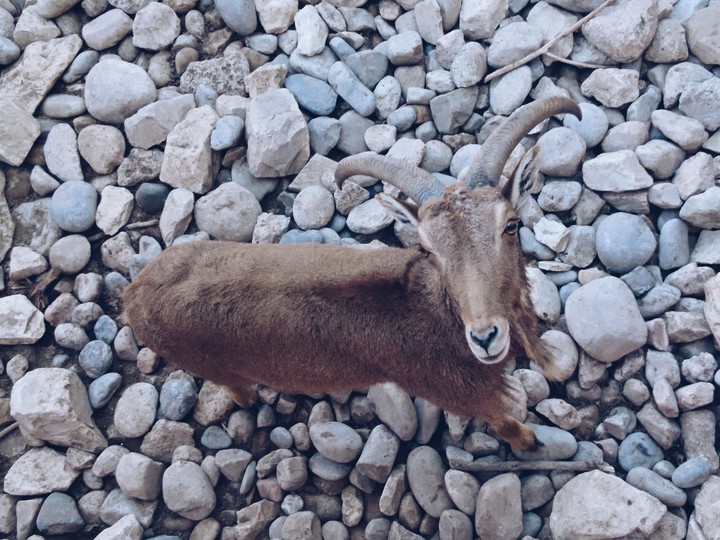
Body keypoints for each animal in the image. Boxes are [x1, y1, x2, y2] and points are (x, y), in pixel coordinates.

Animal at [122, 97, 581, 451]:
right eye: (428, 249)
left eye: (511, 225)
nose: (486, 338)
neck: (438, 314)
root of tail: (134, 294)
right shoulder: (459, 392)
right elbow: (503, 422)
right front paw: (528, 441)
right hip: (211, 367)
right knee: (235, 388)